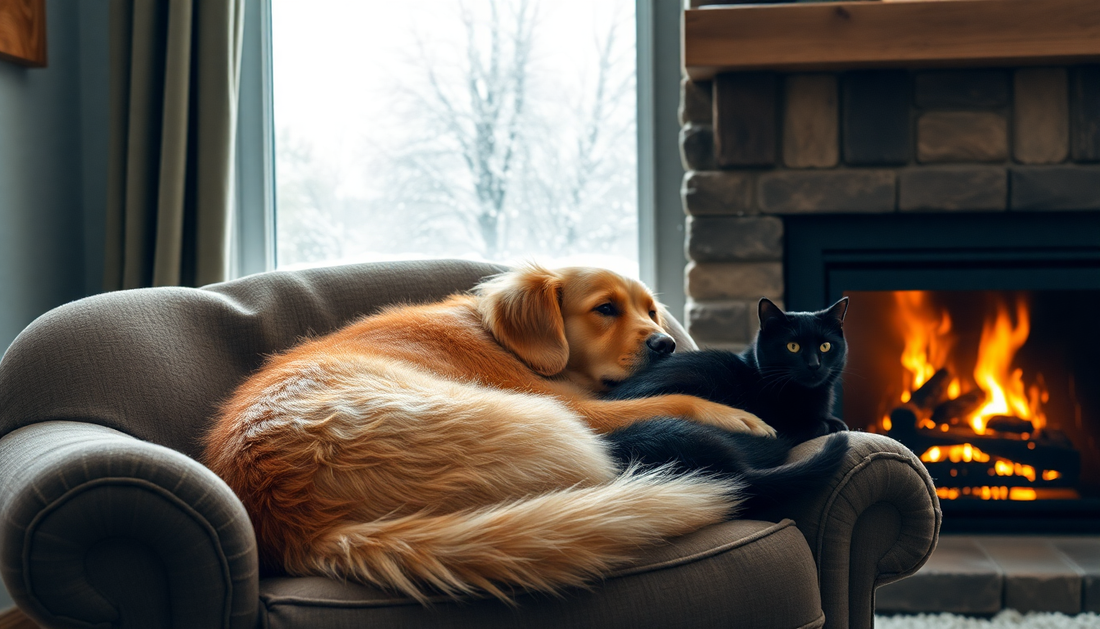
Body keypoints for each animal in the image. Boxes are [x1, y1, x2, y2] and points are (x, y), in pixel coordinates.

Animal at [204, 262, 774, 602]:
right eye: (605, 309)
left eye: (650, 310)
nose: (666, 344)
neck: (501, 338)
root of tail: (307, 525)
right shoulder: (581, 407)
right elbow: (677, 399)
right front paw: (738, 415)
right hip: (554, 422)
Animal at [602, 299, 849, 505]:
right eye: (793, 347)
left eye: (825, 346)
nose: (814, 365)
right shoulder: (784, 424)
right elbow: (820, 423)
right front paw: (833, 424)